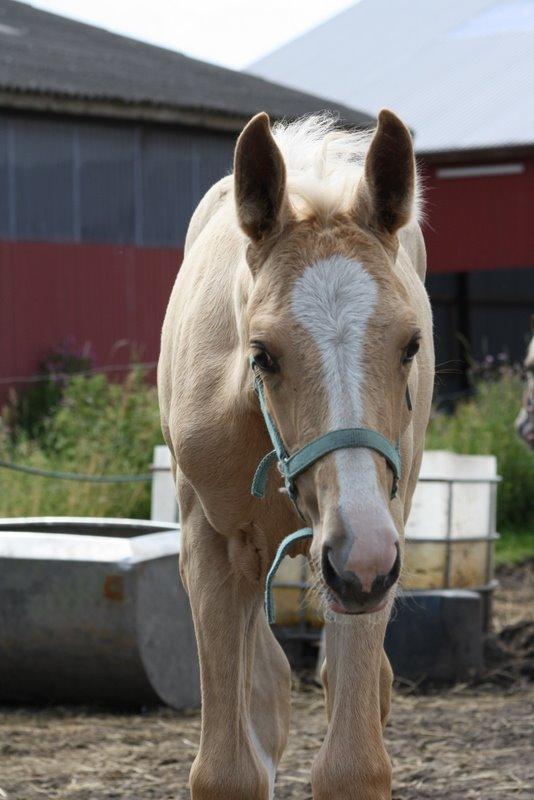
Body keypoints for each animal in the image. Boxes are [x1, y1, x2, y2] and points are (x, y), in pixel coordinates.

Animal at [158, 108, 436, 800]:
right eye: (262, 354)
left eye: (411, 345)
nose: (361, 557)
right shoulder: (210, 542)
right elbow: (227, 768)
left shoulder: (375, 541)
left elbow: (354, 763)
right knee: (267, 686)